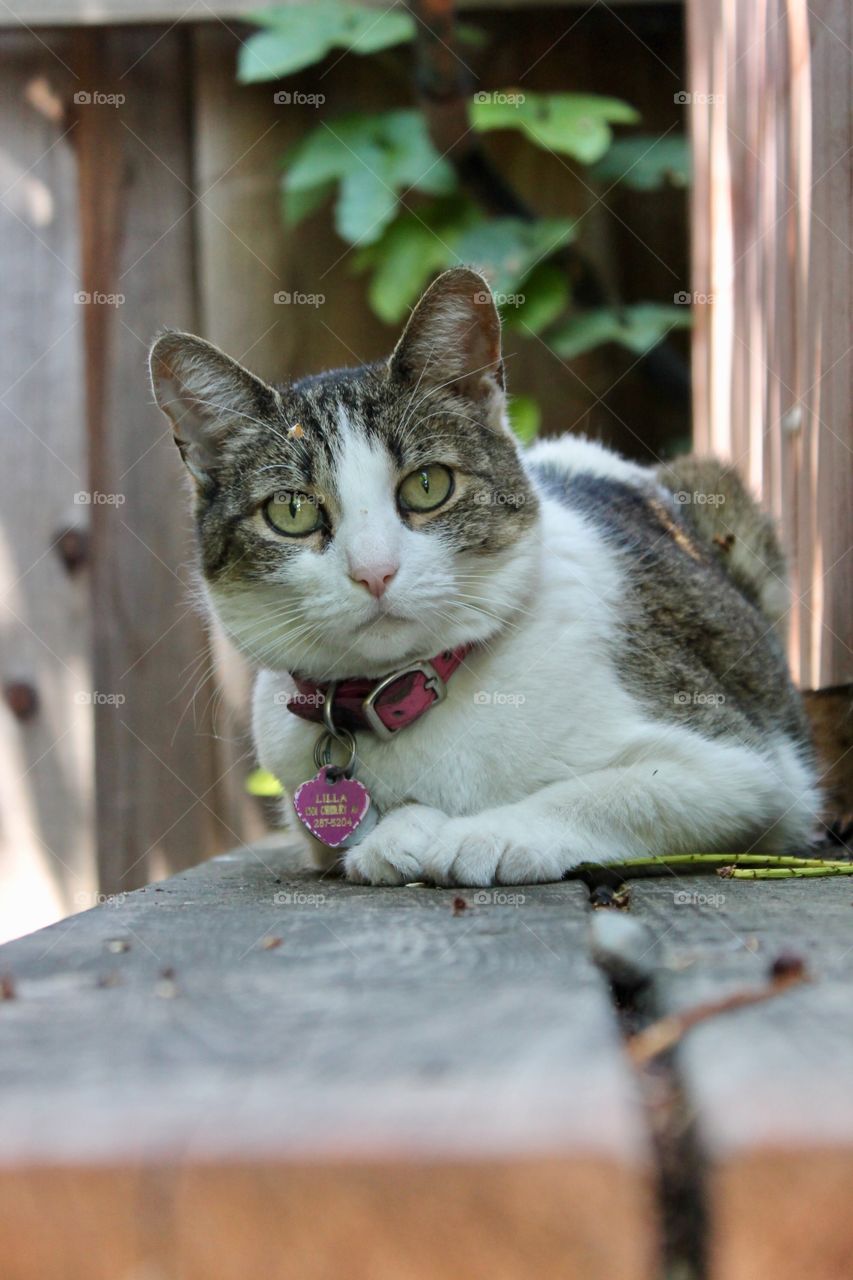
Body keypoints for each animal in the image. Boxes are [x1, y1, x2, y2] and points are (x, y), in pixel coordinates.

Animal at [151, 264, 819, 885]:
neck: (404, 694)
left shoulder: (751, 770)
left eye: (428, 485)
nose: (375, 572)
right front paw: (401, 832)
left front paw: (485, 834)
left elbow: (613, 791)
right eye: (293, 511)